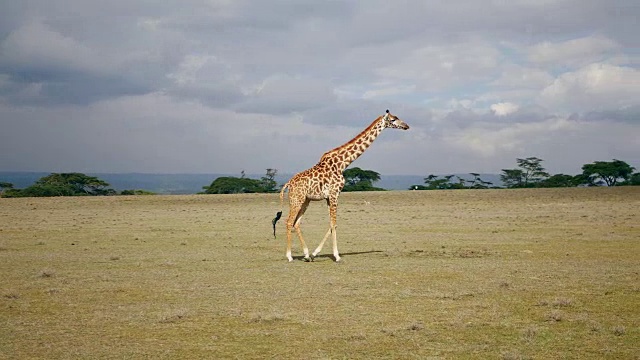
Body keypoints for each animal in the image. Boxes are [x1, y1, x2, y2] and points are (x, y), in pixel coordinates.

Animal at [272, 109, 410, 262]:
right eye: (393, 119)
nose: (406, 126)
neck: (343, 164)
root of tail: (288, 184)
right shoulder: (335, 194)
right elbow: (334, 224)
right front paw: (337, 256)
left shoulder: (329, 197)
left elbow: (331, 224)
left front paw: (315, 253)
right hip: (296, 199)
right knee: (289, 221)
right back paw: (289, 256)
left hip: (305, 200)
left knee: (296, 223)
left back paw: (307, 255)